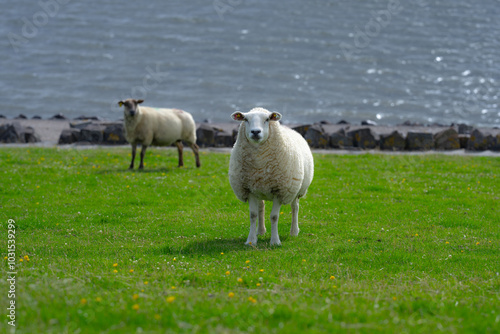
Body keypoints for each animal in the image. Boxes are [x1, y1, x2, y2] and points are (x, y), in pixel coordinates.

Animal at [229, 108, 314, 247]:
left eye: (267, 119)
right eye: (245, 119)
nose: (255, 132)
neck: (259, 165)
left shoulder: (279, 191)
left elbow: (274, 216)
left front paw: (275, 241)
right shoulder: (249, 189)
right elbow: (253, 215)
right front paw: (251, 240)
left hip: (296, 190)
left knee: (295, 207)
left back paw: (294, 231)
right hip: (259, 189)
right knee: (261, 207)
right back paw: (261, 231)